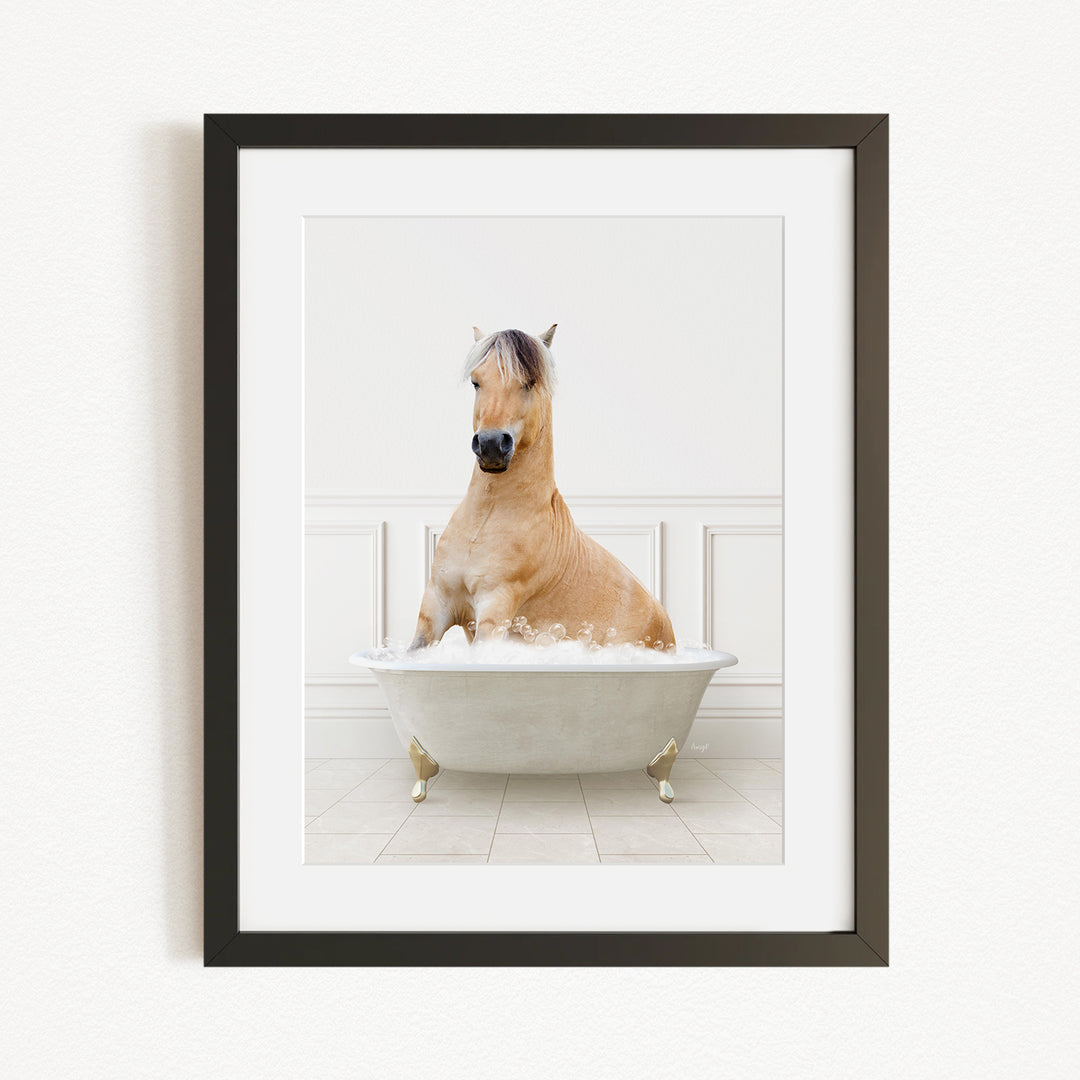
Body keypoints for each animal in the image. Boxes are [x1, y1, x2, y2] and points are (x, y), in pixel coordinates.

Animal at [409, 325, 676, 652]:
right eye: (476, 382)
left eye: (529, 382)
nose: (490, 445)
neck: (485, 521)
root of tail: (664, 621)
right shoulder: (436, 604)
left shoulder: (494, 609)